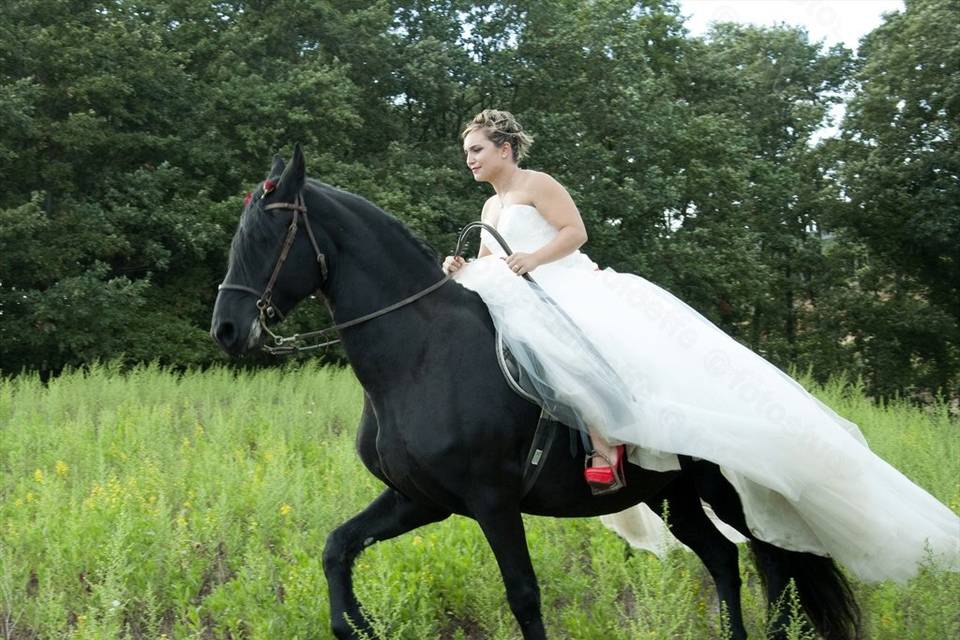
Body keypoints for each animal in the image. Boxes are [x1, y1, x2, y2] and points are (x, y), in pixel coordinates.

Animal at [212, 145, 864, 640]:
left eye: (272, 231)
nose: (226, 330)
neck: (422, 356)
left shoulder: (492, 500)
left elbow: (524, 596)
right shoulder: (420, 498)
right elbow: (336, 549)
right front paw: (360, 624)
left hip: (725, 491)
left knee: (775, 566)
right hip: (670, 494)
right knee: (726, 560)